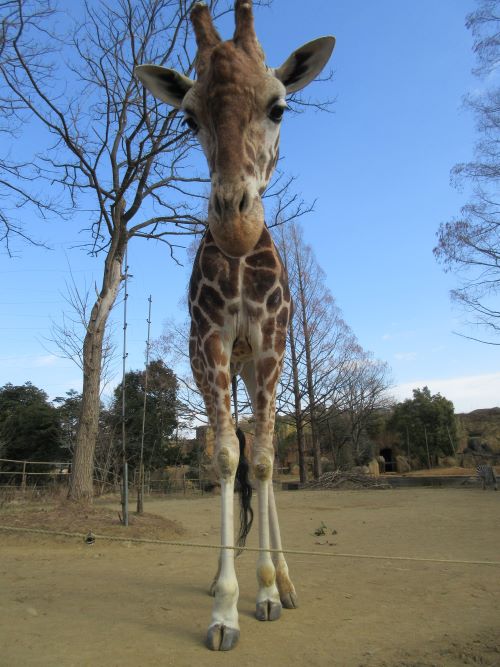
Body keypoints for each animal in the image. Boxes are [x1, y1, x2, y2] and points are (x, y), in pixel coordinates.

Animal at [135, 0, 334, 648]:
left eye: (279, 107)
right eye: (188, 118)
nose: (235, 225)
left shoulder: (271, 343)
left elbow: (267, 460)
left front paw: (267, 592)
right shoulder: (209, 345)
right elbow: (225, 456)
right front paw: (224, 611)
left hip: (261, 365)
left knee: (269, 455)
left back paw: (286, 584)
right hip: (232, 366)